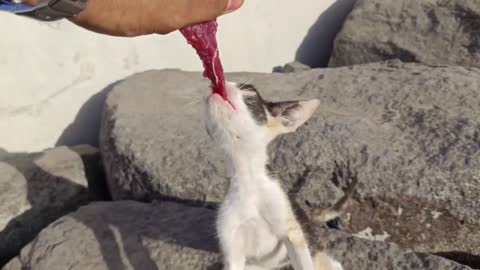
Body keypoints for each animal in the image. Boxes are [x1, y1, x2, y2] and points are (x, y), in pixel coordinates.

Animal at [204, 83, 344, 270]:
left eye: (249, 91)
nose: (220, 84)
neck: (248, 177)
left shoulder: (293, 234)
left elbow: (303, 261)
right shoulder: (232, 248)